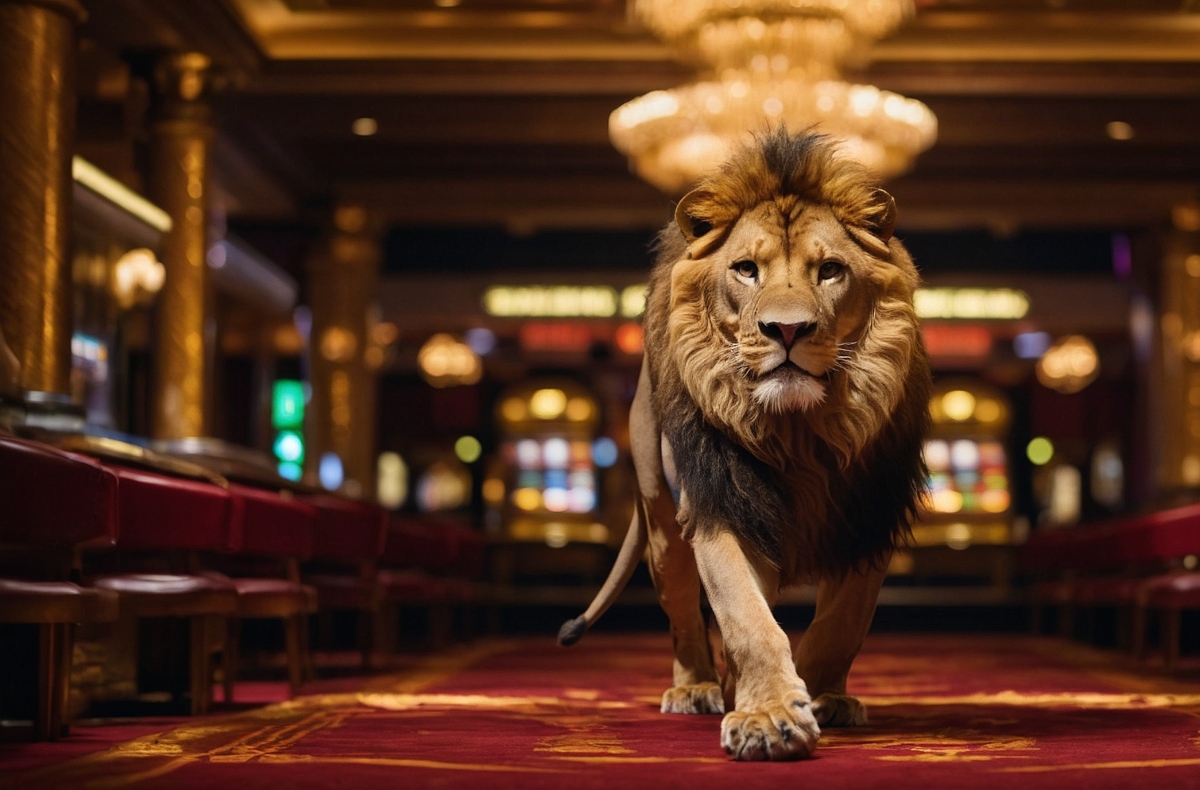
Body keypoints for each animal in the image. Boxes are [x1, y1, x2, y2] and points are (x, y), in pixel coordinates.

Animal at [558, 129, 931, 761]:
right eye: (747, 270)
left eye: (831, 270)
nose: (787, 330)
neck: (802, 435)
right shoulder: (721, 504)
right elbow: (746, 618)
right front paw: (769, 717)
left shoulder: (870, 515)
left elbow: (840, 625)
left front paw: (819, 696)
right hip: (662, 520)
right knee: (685, 612)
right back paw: (699, 688)